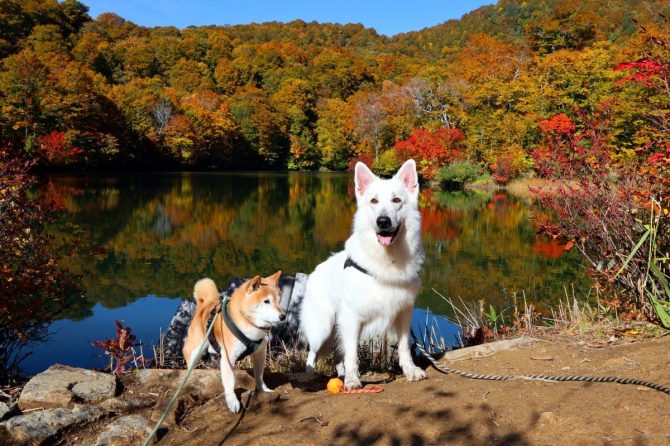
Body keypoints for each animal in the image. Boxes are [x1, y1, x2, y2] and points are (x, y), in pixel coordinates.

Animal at [300, 159, 426, 388]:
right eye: (373, 201)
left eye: (397, 200)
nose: (383, 221)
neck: (386, 260)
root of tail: (314, 272)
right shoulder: (352, 318)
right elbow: (352, 354)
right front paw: (352, 380)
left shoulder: (404, 314)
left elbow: (404, 347)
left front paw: (410, 370)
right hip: (322, 329)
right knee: (312, 354)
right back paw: (311, 373)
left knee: (337, 355)